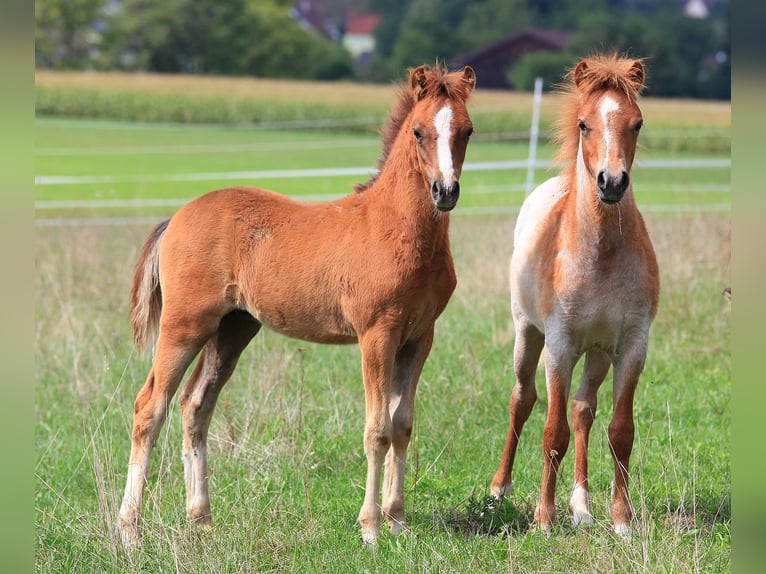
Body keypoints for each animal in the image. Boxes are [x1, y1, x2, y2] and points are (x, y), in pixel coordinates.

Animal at [117, 64, 476, 548]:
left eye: (467, 131)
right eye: (419, 131)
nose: (445, 191)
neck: (397, 229)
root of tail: (176, 217)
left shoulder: (419, 336)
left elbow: (402, 425)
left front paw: (398, 521)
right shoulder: (376, 334)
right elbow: (377, 429)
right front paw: (370, 529)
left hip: (233, 328)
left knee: (196, 405)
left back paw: (202, 519)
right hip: (185, 324)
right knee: (150, 406)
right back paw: (129, 530)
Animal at [492, 56, 660, 536]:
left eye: (637, 123)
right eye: (584, 124)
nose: (612, 181)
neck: (600, 254)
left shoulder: (631, 346)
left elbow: (619, 432)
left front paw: (622, 520)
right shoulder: (560, 345)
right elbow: (553, 432)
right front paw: (544, 519)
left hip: (598, 352)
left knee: (584, 409)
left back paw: (582, 506)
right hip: (527, 335)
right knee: (522, 400)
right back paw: (500, 489)